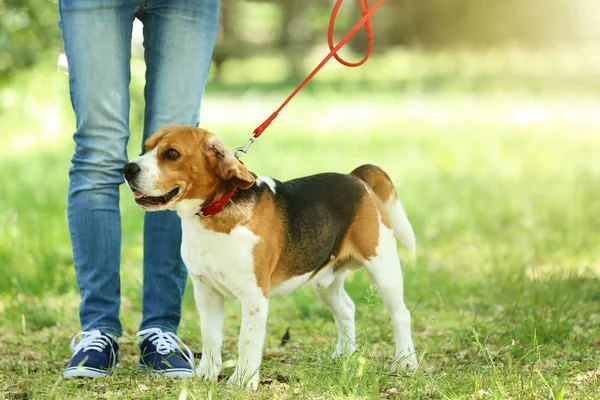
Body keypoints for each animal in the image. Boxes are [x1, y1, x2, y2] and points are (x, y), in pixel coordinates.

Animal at [122, 125, 418, 388]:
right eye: (146, 147)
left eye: (172, 154)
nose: (128, 169)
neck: (214, 213)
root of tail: (357, 178)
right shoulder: (205, 291)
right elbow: (210, 337)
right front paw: (206, 375)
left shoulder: (254, 296)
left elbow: (247, 341)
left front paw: (242, 381)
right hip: (326, 280)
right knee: (347, 309)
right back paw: (345, 354)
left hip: (383, 269)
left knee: (400, 314)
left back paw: (405, 362)